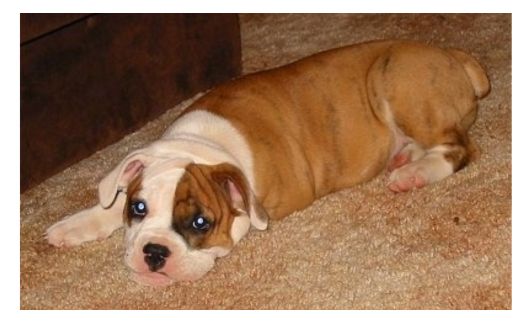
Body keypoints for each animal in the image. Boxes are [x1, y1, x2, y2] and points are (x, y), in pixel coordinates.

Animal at [45, 40, 486, 286]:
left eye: (201, 223)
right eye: (139, 209)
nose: (154, 252)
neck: (200, 147)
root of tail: (453, 55)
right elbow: (110, 201)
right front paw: (75, 225)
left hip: (396, 82)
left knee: (460, 148)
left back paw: (413, 173)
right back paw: (405, 156)